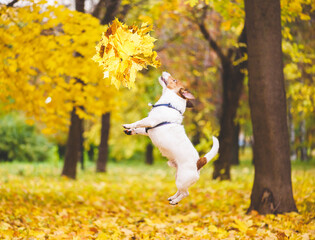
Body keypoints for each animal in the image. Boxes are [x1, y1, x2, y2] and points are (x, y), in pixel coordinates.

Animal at [123, 71, 220, 204]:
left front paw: (128, 125)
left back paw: (175, 201)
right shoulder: (148, 129)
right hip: (178, 176)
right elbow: (140, 129)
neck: (170, 104)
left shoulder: (150, 121)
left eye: (174, 80)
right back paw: (173, 198)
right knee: (181, 191)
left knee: (185, 193)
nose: (165, 72)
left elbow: (138, 122)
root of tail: (199, 162)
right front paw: (130, 131)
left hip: (182, 179)